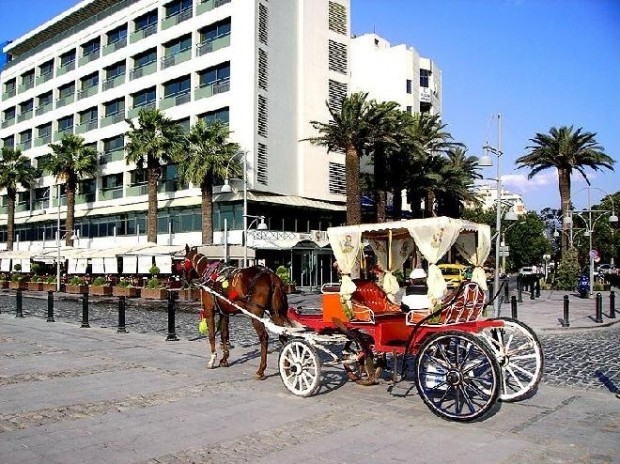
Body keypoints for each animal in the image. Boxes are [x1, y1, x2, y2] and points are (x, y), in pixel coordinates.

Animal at [184, 245, 294, 378]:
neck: (209, 275)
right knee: (283, 334)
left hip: (256, 313)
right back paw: (287, 366)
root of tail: (271, 276)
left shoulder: (209, 310)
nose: (185, 279)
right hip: (275, 312)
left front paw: (212, 359)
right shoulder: (224, 312)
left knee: (264, 337)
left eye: (183, 261)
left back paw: (261, 370)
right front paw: (224, 359)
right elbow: (224, 335)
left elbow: (211, 335)